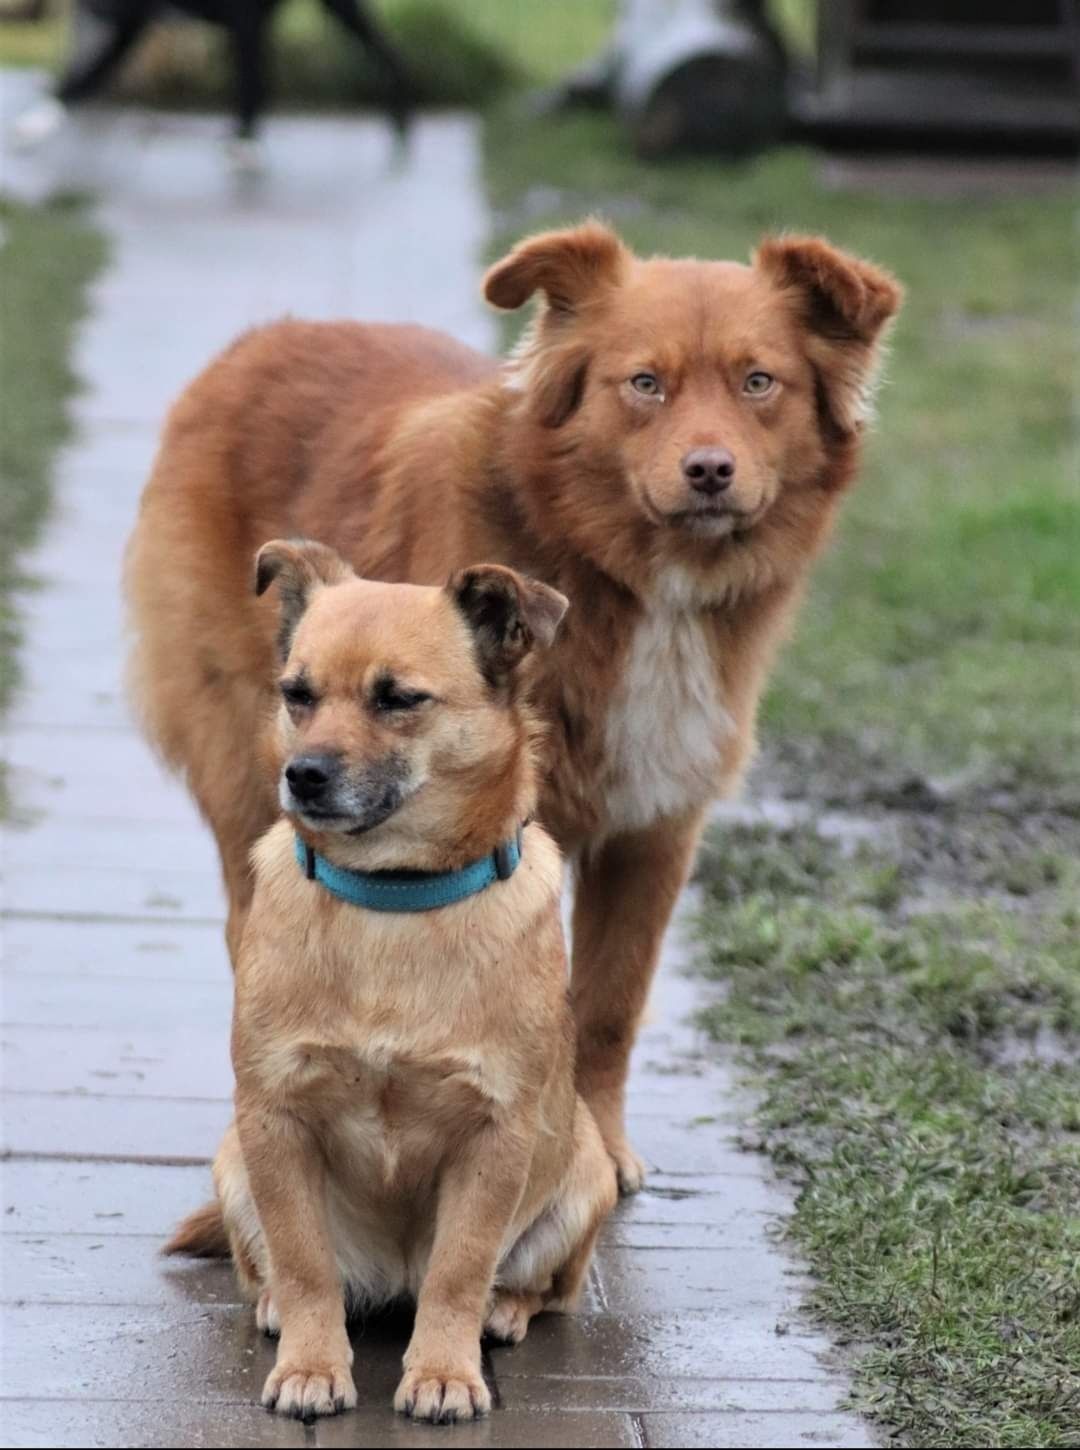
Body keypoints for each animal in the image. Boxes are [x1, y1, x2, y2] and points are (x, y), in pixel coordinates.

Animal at [126, 214, 898, 1189]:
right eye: (644, 383)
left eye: (760, 382)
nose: (710, 471)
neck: (626, 578)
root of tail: (261, 339)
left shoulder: (657, 829)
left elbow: (606, 1004)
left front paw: (590, 1143)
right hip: (246, 768)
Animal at [169, 545, 620, 1426]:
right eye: (297, 693)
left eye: (399, 699)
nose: (302, 774)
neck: (393, 898)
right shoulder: (274, 1122)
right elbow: (305, 1263)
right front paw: (312, 1365)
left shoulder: (495, 1136)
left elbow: (460, 1268)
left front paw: (444, 1371)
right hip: (233, 1162)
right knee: (272, 1267)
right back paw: (275, 1307)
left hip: (588, 1182)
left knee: (540, 1287)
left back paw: (502, 1311)